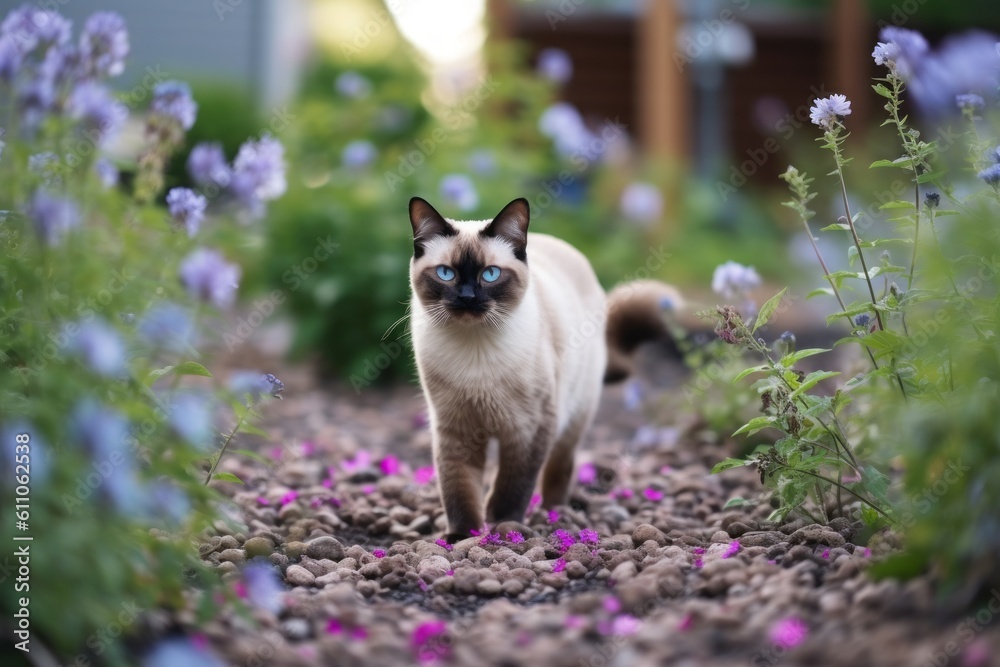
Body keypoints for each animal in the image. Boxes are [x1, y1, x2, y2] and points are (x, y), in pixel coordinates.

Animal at [406, 196, 680, 540]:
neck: (475, 351)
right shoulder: (456, 429)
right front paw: (462, 536)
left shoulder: (529, 428)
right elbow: (459, 488)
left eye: (490, 275)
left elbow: (512, 487)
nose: (468, 297)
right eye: (446, 273)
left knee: (560, 468)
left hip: (572, 416)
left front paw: (503, 526)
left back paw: (555, 513)